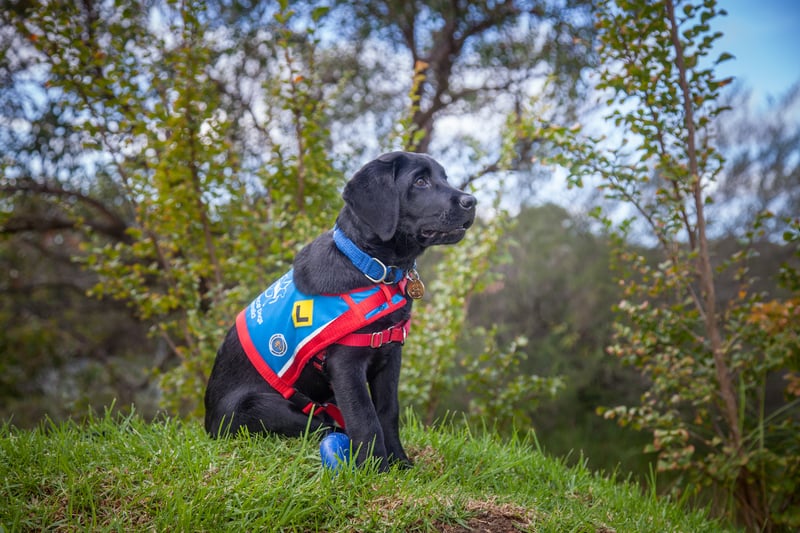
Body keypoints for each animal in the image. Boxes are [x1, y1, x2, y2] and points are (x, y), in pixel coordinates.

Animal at [205, 151, 476, 470]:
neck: (373, 269)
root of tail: (207, 422)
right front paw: (376, 469)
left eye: (444, 177)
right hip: (258, 406)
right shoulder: (345, 364)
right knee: (322, 424)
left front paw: (400, 463)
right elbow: (365, 417)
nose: (472, 201)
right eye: (420, 181)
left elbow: (388, 411)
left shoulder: (390, 355)